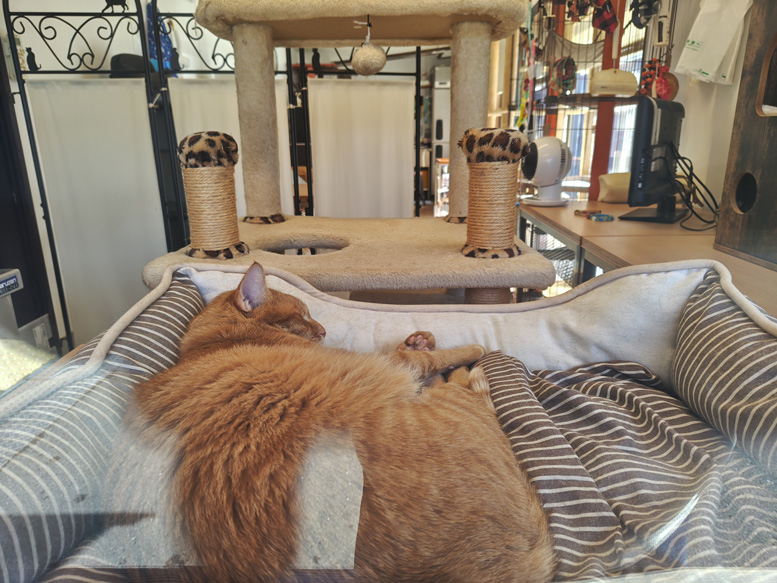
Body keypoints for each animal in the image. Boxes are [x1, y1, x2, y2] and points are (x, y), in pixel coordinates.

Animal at [130, 262, 555, 583]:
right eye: (302, 316)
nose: (322, 331)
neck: (214, 343)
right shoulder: (393, 365)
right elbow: (437, 355)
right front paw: (467, 348)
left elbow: (415, 348)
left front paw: (420, 337)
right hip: (445, 406)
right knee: (465, 387)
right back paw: (466, 371)